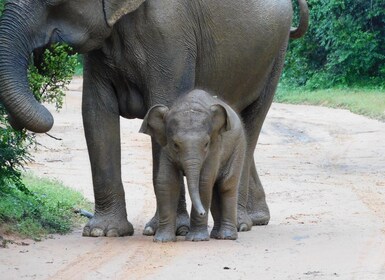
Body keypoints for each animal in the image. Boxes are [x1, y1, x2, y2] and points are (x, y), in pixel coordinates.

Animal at [140, 88, 244, 242]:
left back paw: (227, 237)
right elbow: (167, 181)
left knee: (226, 186)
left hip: (238, 146)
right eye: (175, 144)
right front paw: (162, 240)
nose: (202, 213)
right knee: (215, 189)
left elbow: (203, 182)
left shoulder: (215, 146)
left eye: (206, 144)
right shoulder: (166, 148)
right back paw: (215, 235)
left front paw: (196, 239)